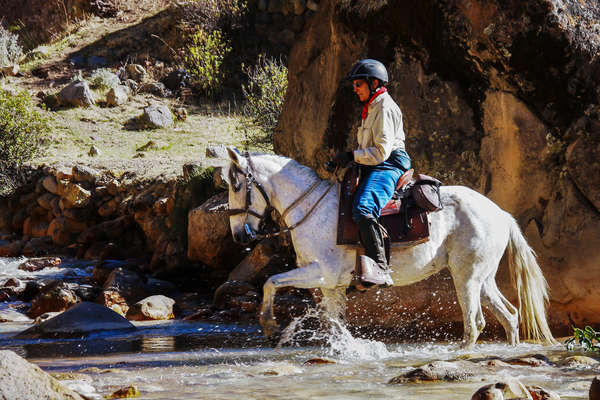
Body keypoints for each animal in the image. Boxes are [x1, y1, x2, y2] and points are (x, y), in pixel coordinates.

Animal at [223, 148, 556, 348]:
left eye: (236, 186)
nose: (239, 236)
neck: (311, 209)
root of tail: (500, 213)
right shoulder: (332, 286)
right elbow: (333, 322)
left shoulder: (321, 274)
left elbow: (270, 281)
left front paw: (270, 325)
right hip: (483, 279)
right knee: (510, 316)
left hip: (467, 278)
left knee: (475, 325)